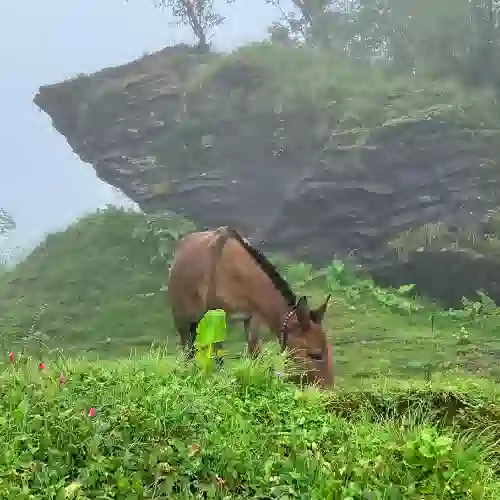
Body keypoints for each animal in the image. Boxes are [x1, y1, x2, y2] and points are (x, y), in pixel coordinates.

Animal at [166, 226, 334, 386]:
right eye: (315, 355)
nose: (329, 391)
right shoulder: (217, 316)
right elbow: (218, 356)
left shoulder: (252, 317)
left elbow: (254, 354)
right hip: (182, 317)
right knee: (187, 349)